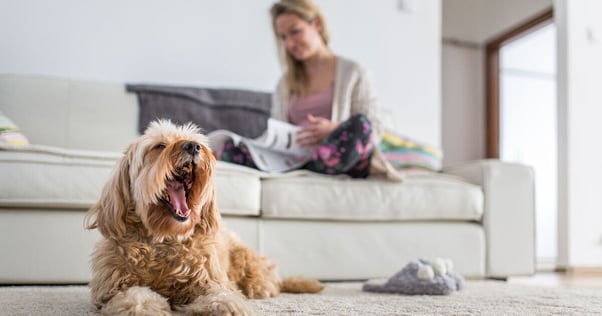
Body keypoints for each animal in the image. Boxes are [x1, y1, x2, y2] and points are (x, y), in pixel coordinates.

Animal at [83, 119, 324, 314]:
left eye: (196, 142)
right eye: (159, 146)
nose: (192, 146)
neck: (165, 238)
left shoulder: (210, 280)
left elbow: (222, 295)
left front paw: (229, 307)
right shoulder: (112, 288)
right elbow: (134, 296)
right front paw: (146, 308)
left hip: (252, 271)